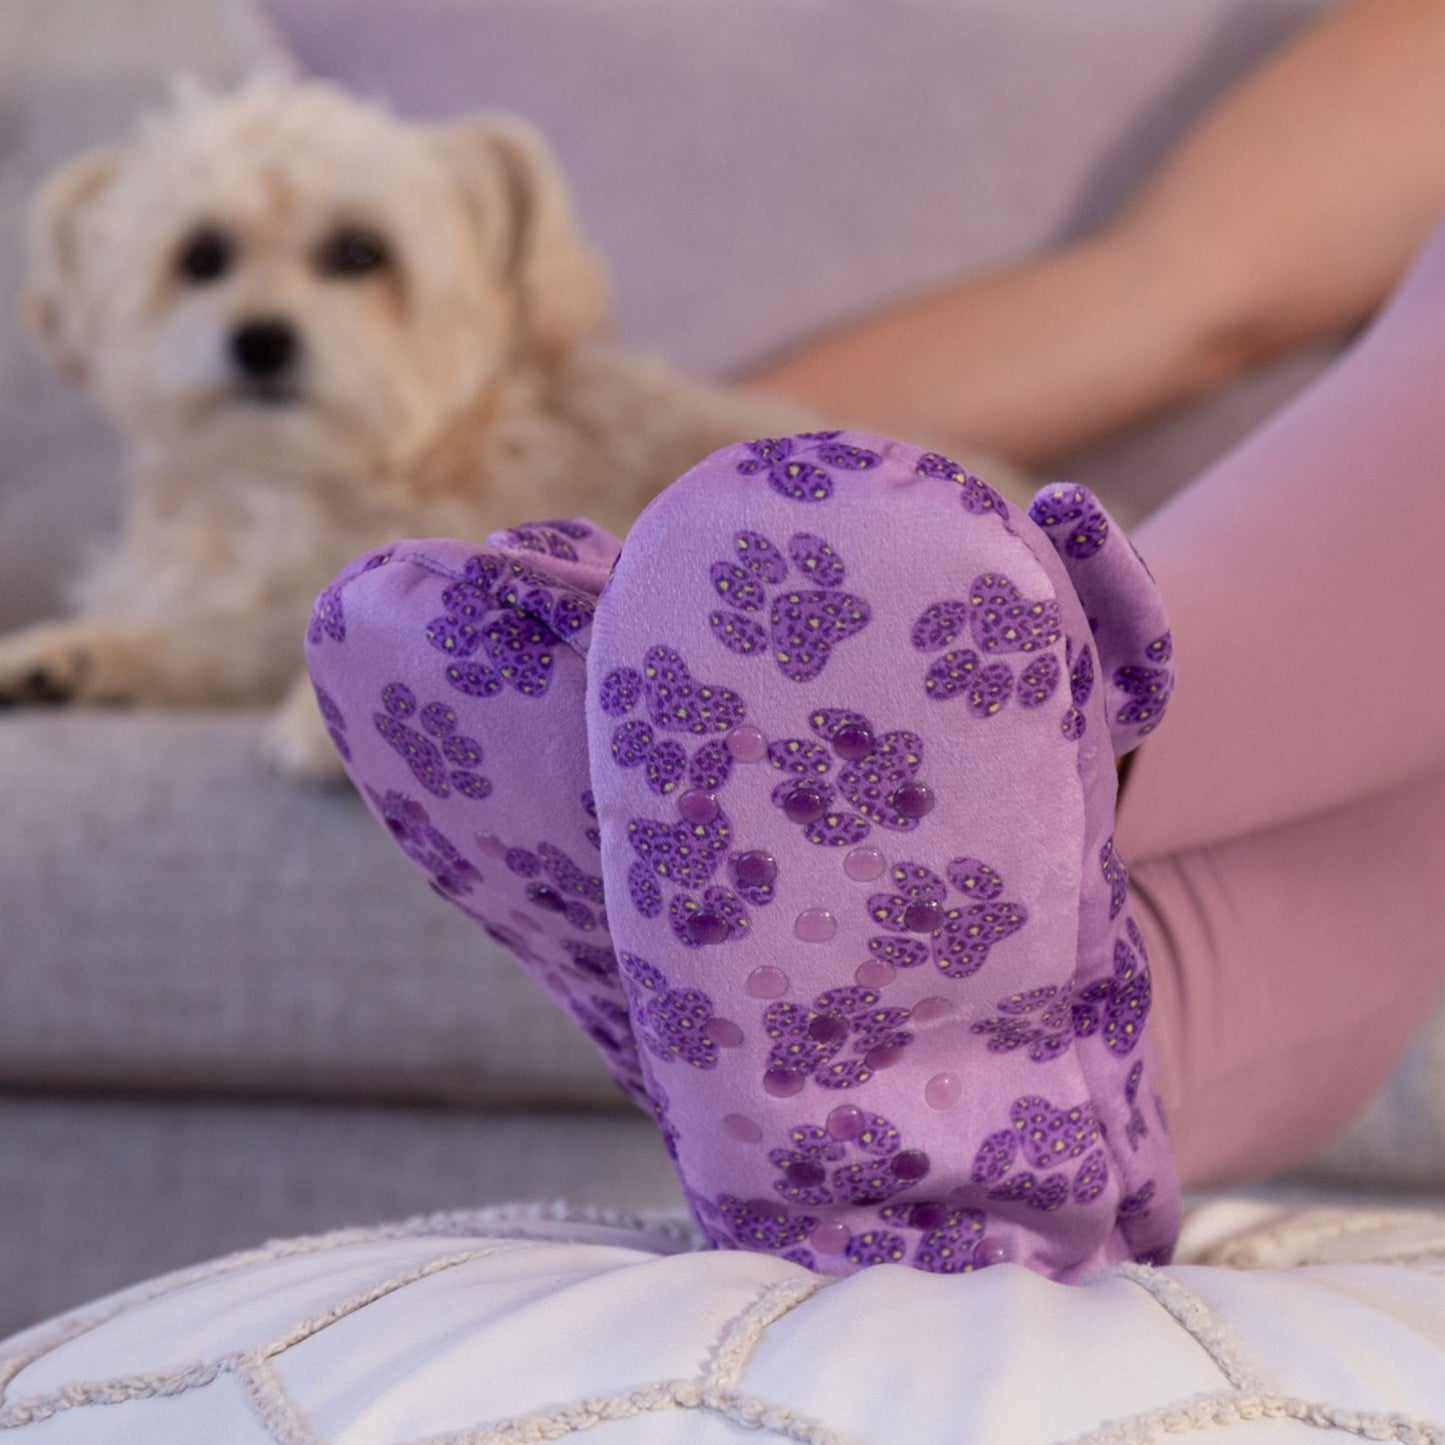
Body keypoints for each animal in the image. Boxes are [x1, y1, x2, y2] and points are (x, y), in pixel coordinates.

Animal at [5, 79, 1034, 780]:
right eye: (201, 256)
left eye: (359, 252)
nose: (259, 339)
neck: (310, 487)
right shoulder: (233, 620)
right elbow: (194, 643)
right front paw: (70, 653)